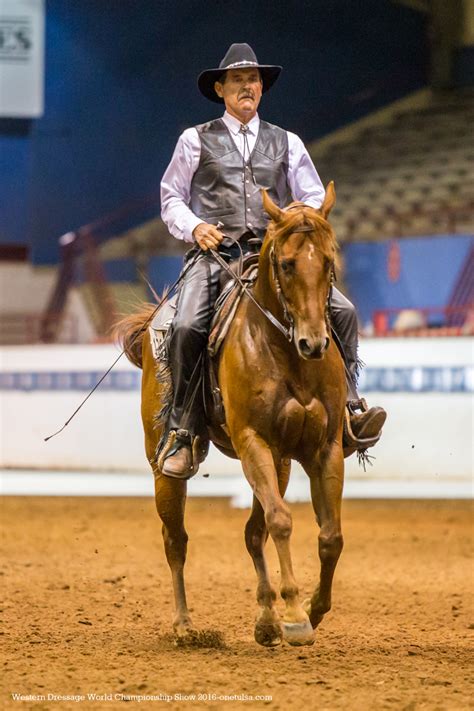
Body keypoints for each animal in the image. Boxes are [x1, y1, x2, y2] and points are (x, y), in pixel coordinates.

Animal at [118, 182, 344, 644]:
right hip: (164, 467)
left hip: (279, 463)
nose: (314, 343)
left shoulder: (325, 447)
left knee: (252, 534)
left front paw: (312, 609)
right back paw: (185, 625)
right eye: (287, 264)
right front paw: (296, 615)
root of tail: (153, 325)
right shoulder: (253, 440)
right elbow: (281, 521)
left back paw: (266, 621)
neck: (288, 356)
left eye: (329, 262)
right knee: (175, 539)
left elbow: (330, 535)